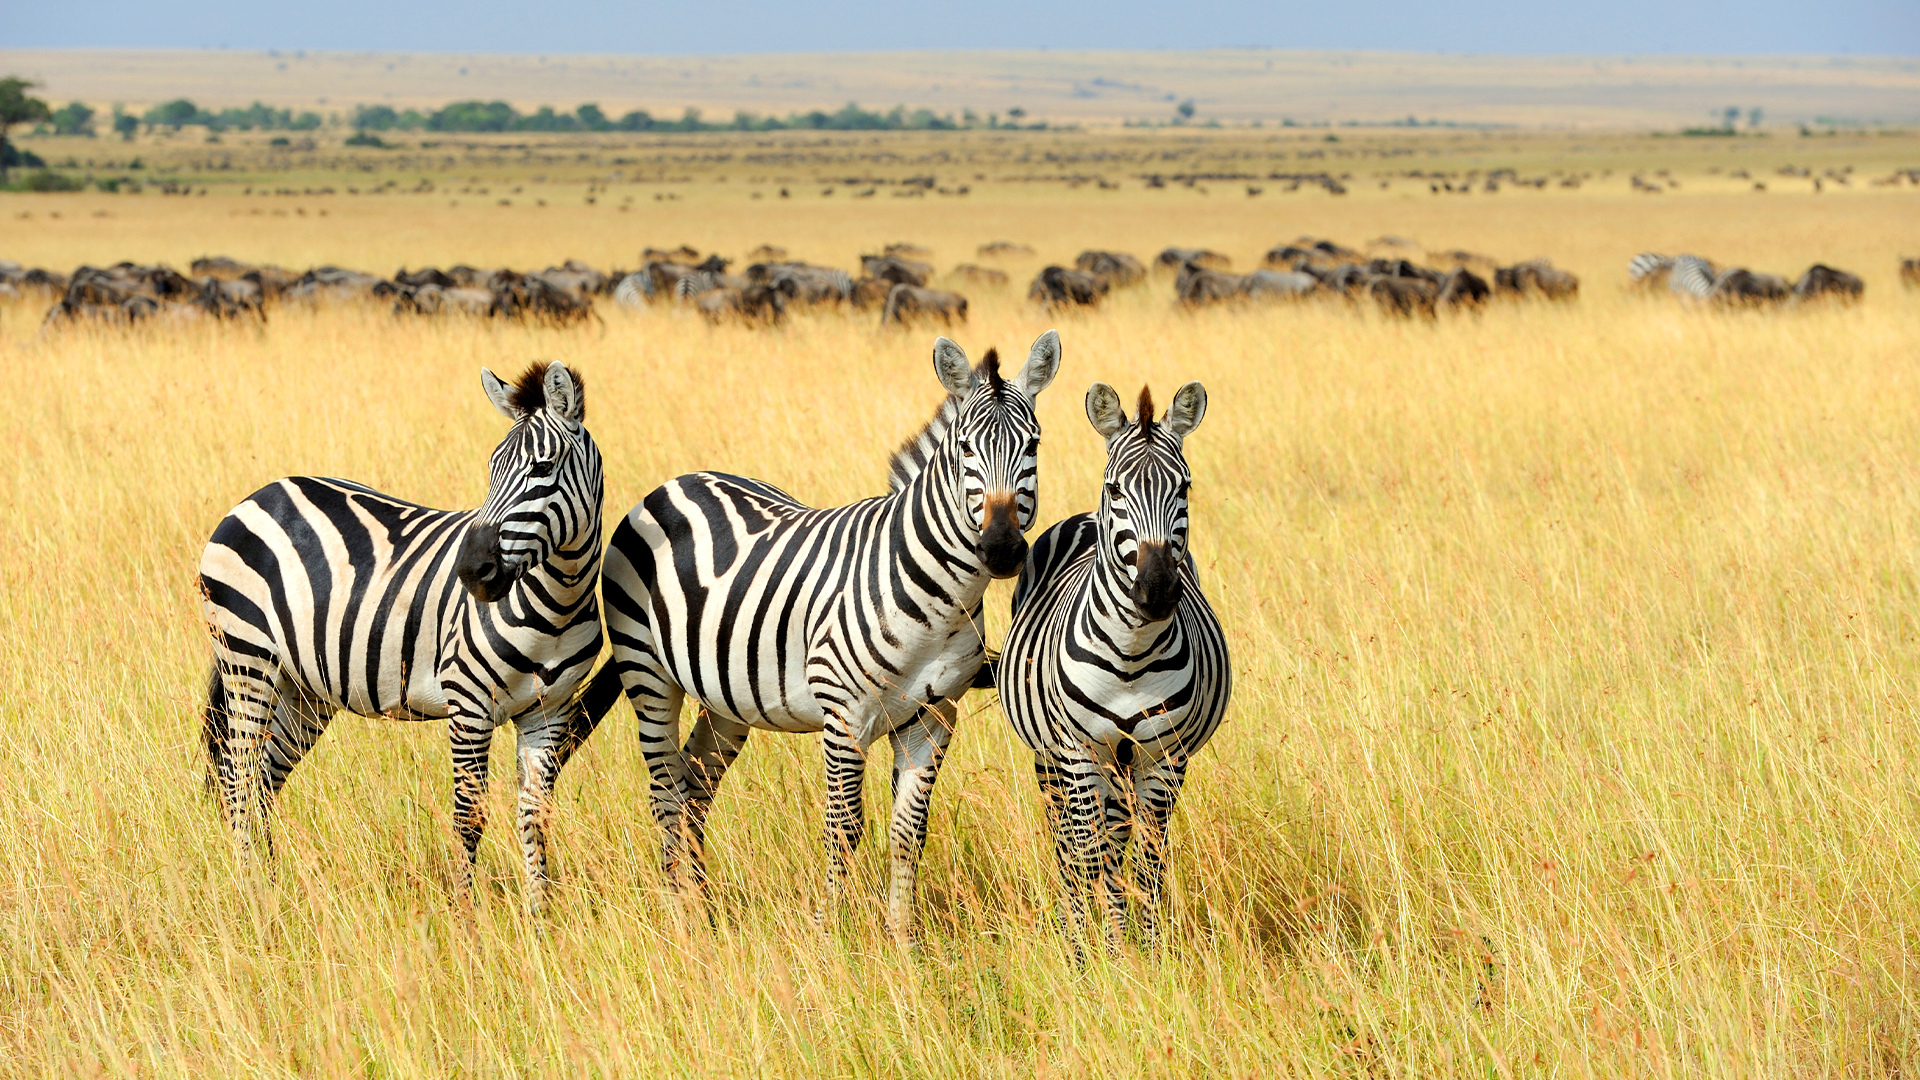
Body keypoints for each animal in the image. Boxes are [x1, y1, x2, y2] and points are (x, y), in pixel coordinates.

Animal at [197, 361, 602, 907]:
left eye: (543, 468)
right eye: (491, 467)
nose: (472, 571)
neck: (557, 603)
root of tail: (260, 494)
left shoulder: (550, 711)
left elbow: (536, 817)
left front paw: (539, 916)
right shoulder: (469, 703)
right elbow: (468, 817)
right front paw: (466, 915)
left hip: (303, 689)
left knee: (262, 781)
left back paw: (273, 888)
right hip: (248, 661)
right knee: (237, 778)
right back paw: (250, 893)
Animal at [587, 330, 1059, 941]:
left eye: (1034, 445)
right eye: (964, 450)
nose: (1001, 549)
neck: (937, 597)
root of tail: (675, 482)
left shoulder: (933, 718)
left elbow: (909, 833)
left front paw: (902, 941)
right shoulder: (844, 715)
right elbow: (844, 827)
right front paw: (830, 936)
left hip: (726, 697)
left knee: (693, 787)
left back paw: (704, 910)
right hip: (648, 675)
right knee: (666, 792)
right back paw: (679, 916)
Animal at [990, 378, 1228, 949]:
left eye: (1185, 488)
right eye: (1117, 489)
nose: (1157, 591)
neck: (1131, 653)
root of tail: (1082, 515)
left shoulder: (1164, 756)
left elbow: (1146, 860)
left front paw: (1145, 948)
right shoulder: (1078, 752)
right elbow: (1089, 854)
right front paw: (1100, 952)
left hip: (1124, 762)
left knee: (1119, 839)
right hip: (1054, 758)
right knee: (1070, 845)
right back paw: (1076, 932)